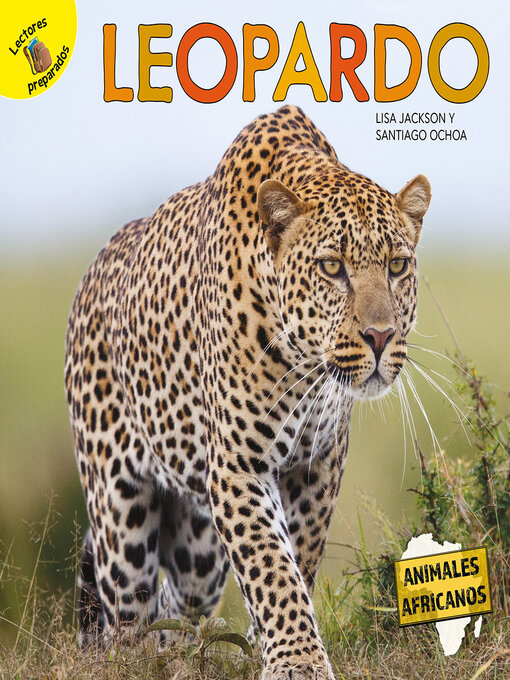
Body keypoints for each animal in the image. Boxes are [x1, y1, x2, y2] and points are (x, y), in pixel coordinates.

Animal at [65, 104, 431, 680]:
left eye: (397, 265)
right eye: (332, 267)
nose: (380, 336)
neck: (305, 365)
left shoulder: (319, 462)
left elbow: (296, 558)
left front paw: (270, 645)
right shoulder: (239, 466)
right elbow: (270, 565)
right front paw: (298, 661)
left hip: (198, 549)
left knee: (177, 604)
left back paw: (189, 654)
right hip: (119, 516)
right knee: (128, 620)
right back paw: (144, 661)